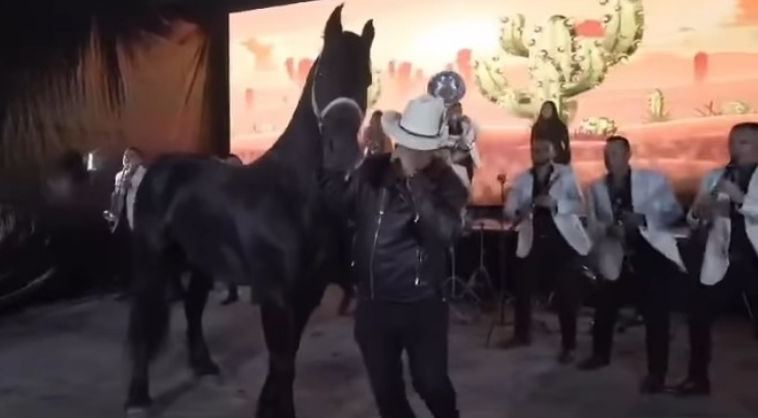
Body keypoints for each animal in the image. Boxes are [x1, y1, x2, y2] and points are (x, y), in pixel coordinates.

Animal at [126, 4, 376, 416]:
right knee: (142, 321)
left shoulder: (307, 293)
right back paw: (137, 397)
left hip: (201, 260)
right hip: (152, 260)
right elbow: (283, 361)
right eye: (324, 72)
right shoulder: (274, 294)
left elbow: (285, 361)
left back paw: (204, 366)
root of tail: (158, 170)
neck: (291, 195)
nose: (341, 155)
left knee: (193, 308)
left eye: (366, 79)